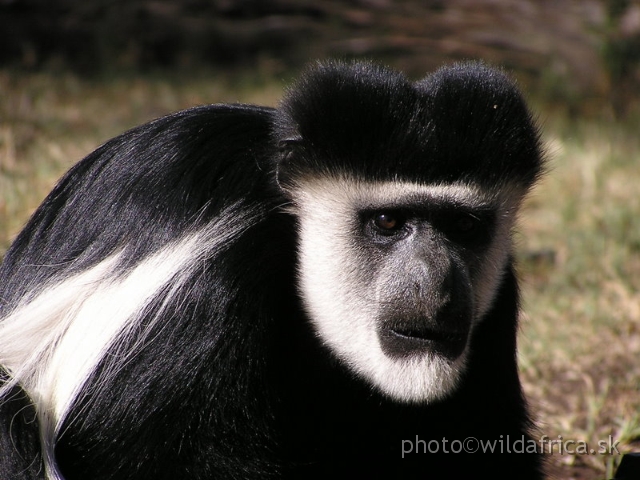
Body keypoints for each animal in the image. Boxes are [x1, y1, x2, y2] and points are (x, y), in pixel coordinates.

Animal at [0, 62, 544, 478]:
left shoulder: (496, 298)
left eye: (463, 225)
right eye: (387, 222)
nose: (436, 283)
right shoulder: (211, 288)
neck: (291, 218)